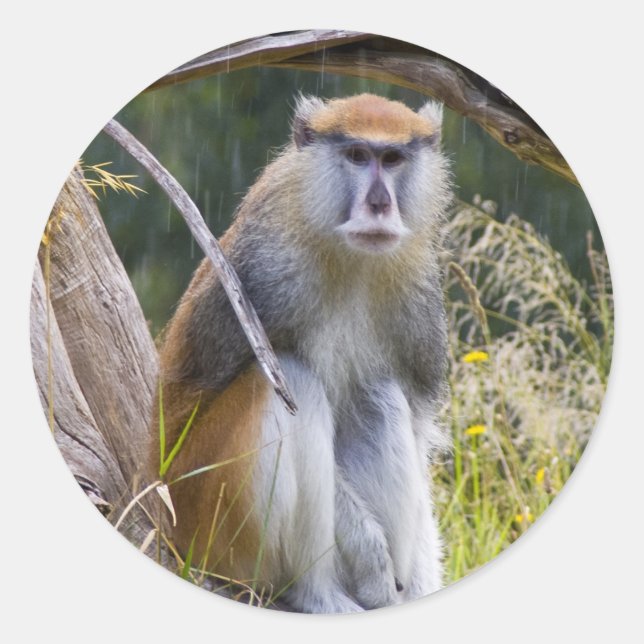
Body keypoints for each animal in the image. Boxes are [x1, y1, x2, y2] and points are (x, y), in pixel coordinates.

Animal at [147, 93, 451, 613]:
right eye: (357, 156)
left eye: (392, 159)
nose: (378, 204)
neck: (350, 258)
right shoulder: (265, 276)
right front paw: (372, 559)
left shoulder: (418, 305)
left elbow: (414, 431)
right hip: (207, 519)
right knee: (293, 381)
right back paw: (320, 596)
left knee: (380, 396)